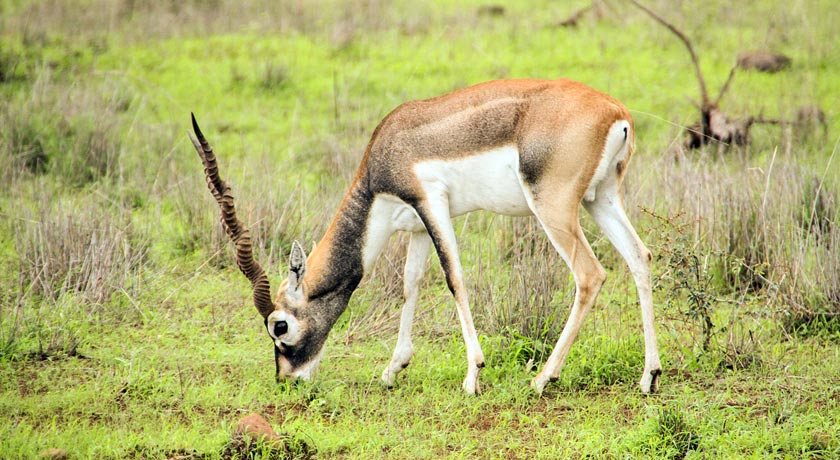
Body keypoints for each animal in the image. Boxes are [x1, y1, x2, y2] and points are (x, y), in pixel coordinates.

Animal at [190, 77, 664, 394]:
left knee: (590, 274)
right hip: (600, 199)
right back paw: (649, 376)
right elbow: (411, 284)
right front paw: (393, 368)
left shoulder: (431, 203)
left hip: (553, 207)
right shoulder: (417, 223)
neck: (387, 152)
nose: (287, 379)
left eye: (280, 326)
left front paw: (473, 376)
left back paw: (543, 378)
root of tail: (615, 112)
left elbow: (453, 277)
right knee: (640, 257)